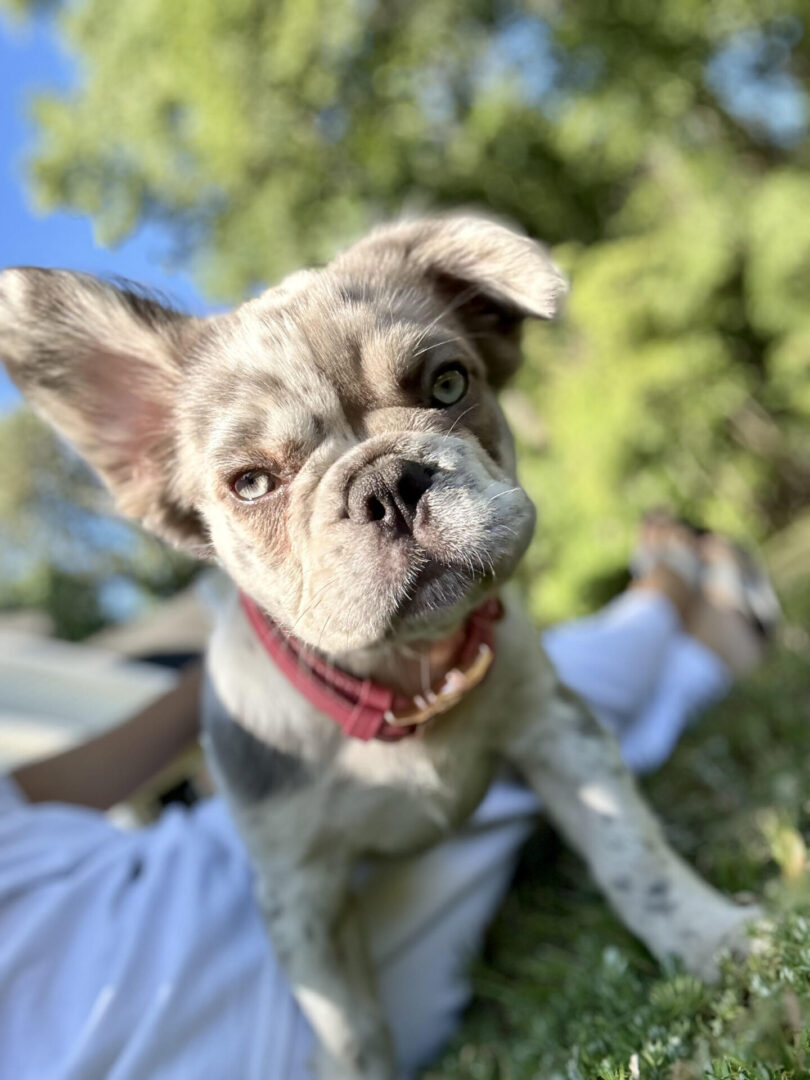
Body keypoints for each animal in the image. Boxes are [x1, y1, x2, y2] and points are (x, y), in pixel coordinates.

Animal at [1, 214, 760, 1075]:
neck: (406, 673)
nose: (389, 485)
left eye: (449, 385)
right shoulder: (300, 892)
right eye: (251, 484)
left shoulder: (558, 732)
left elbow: (633, 857)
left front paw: (711, 938)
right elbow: (349, 1025)